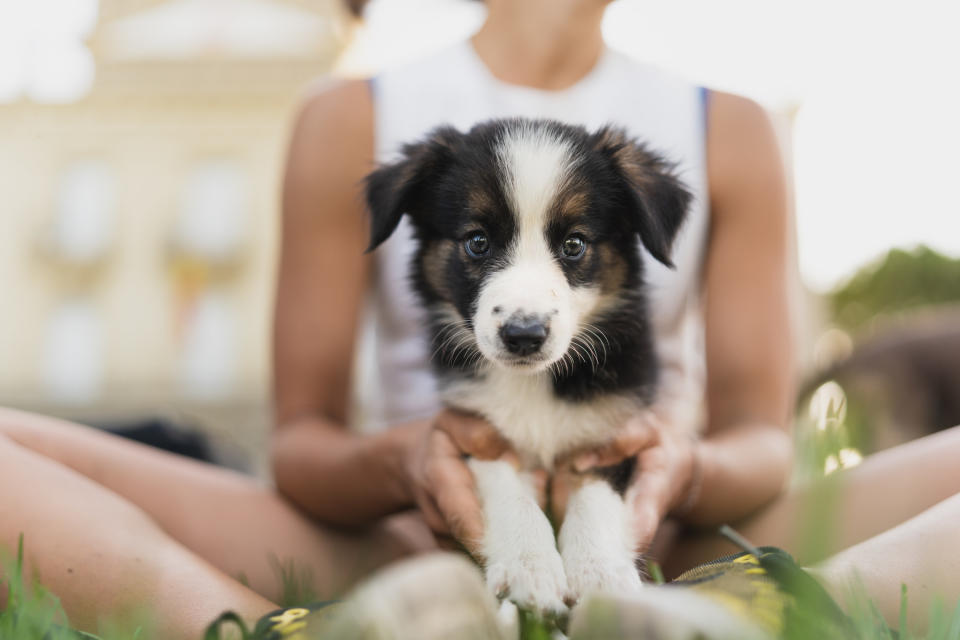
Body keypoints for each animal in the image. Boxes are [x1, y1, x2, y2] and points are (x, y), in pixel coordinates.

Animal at [364, 119, 688, 616]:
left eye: (574, 244)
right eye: (477, 242)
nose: (523, 335)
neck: (532, 383)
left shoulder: (611, 433)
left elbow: (594, 497)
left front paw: (599, 573)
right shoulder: (477, 431)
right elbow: (509, 493)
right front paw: (529, 568)